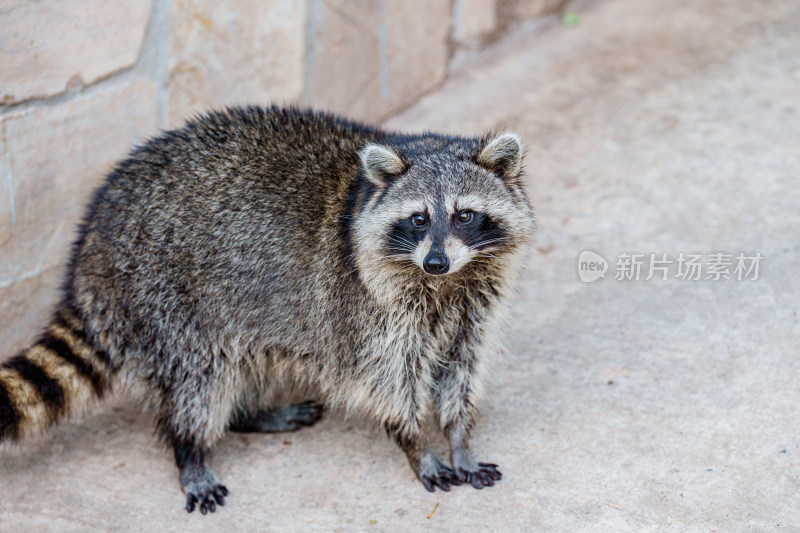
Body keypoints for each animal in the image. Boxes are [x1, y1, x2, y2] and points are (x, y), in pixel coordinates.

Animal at [1, 107, 536, 512]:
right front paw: (418, 446)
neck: (447, 284)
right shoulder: (372, 312)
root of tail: (92, 242)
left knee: (242, 362)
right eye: (419, 219)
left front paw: (459, 438)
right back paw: (190, 450)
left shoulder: (472, 307)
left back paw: (250, 414)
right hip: (164, 297)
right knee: (199, 379)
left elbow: (459, 372)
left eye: (465, 215)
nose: (436, 261)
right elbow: (391, 383)